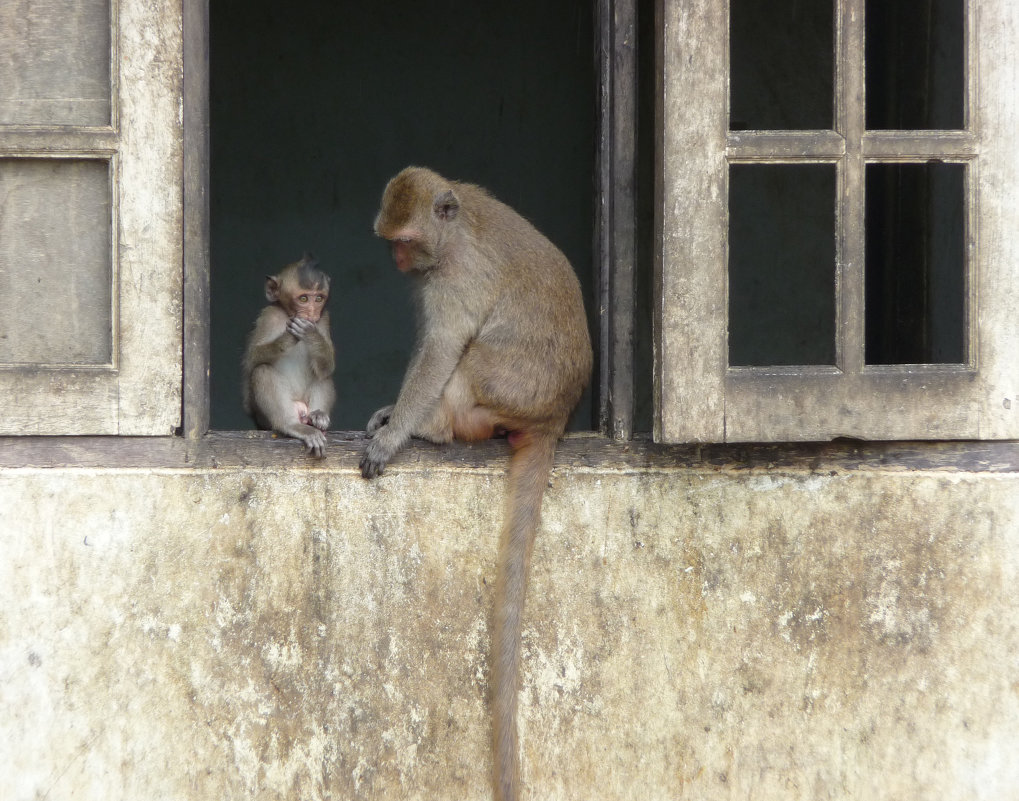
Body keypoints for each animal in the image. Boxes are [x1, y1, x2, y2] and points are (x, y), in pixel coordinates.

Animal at [241, 252, 334, 458]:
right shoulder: (268, 316)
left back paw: (318, 416)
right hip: (265, 418)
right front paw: (288, 338)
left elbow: (328, 366)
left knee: (323, 375)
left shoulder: (324, 319)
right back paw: (291, 425)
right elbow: (251, 362)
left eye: (319, 298)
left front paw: (310, 334)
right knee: (262, 371)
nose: (311, 313)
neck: (287, 314)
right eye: (304, 299)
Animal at [362, 167, 595, 798]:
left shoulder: (455, 277)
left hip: (511, 386)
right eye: (389, 240)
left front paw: (397, 432)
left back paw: (436, 429)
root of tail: (554, 418)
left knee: (470, 359)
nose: (395, 258)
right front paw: (392, 413)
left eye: (405, 240)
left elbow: (443, 347)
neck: (455, 226)